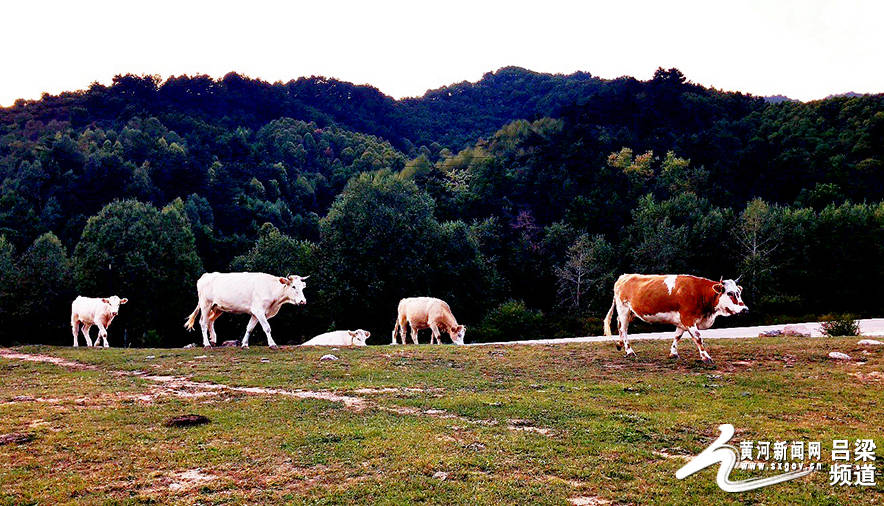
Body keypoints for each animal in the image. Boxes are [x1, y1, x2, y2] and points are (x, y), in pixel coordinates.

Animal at [600, 274, 744, 362]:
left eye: (739, 292)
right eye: (730, 293)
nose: (745, 309)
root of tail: (624, 276)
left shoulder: (682, 321)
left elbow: (677, 336)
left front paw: (673, 353)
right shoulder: (688, 319)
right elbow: (698, 338)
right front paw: (706, 357)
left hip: (630, 313)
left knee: (619, 325)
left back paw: (620, 345)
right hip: (623, 309)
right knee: (623, 329)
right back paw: (629, 351)